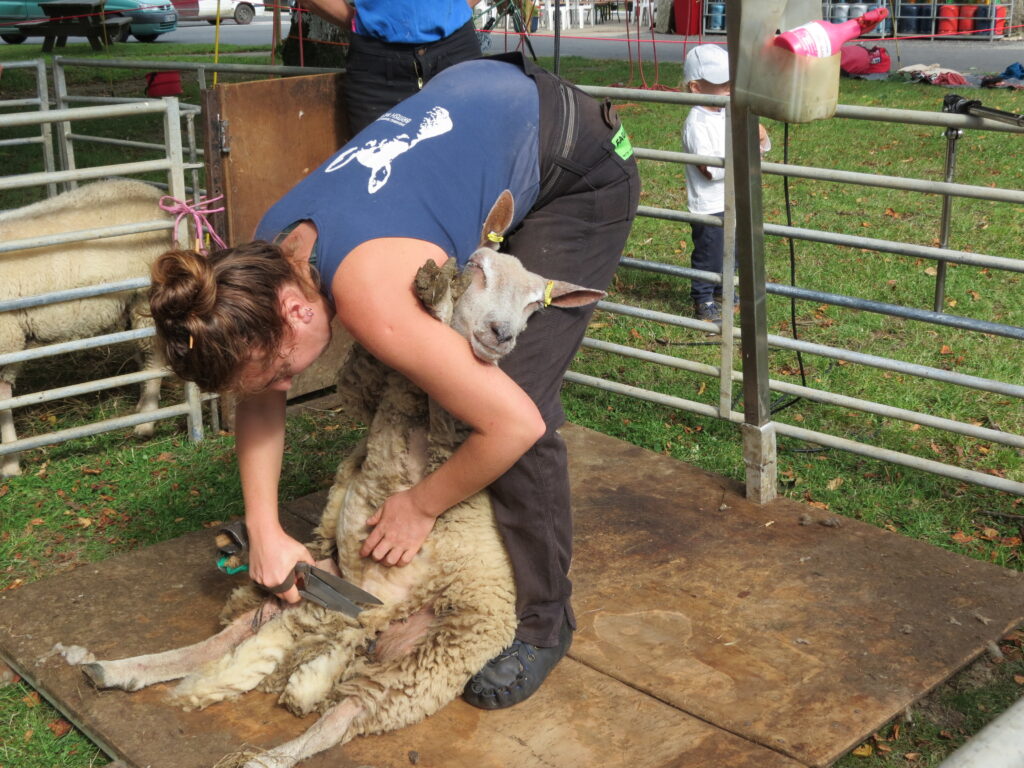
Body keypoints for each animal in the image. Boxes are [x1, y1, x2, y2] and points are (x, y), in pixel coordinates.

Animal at [0, 181, 172, 479]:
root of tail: (151, 192)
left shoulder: (5, 340)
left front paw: (9, 463)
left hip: (145, 298)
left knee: (155, 358)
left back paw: (146, 422)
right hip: (130, 305)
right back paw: (142, 406)